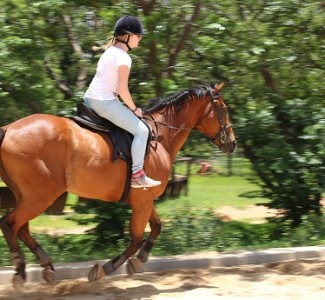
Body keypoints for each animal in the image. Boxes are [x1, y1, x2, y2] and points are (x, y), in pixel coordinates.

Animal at [0, 82, 234, 288]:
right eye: (224, 109)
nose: (232, 142)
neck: (160, 138)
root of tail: (8, 128)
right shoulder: (142, 200)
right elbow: (136, 238)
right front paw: (108, 268)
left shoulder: (144, 198)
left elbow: (156, 227)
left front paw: (140, 259)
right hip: (41, 195)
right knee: (10, 224)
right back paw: (20, 272)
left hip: (27, 195)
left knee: (22, 228)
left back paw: (46, 266)